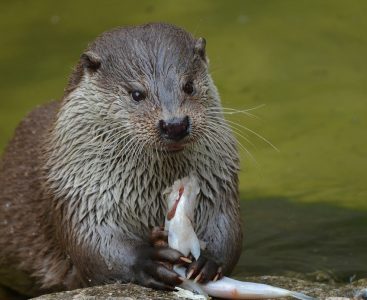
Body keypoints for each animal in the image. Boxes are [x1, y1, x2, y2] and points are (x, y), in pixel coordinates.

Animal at [0, 23, 243, 298]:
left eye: (189, 86)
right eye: (137, 94)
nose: (175, 124)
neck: (150, 194)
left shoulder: (219, 181)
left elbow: (227, 227)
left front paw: (209, 260)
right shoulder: (78, 193)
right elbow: (95, 247)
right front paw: (147, 260)